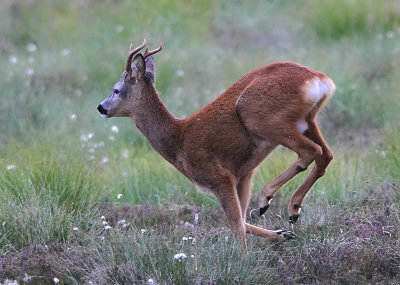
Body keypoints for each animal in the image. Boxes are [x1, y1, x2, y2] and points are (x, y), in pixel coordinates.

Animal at [97, 38, 334, 247]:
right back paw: (290, 210)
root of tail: (320, 80)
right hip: (307, 120)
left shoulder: (219, 177)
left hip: (260, 118)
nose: (100, 107)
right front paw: (281, 234)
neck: (178, 140)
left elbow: (237, 227)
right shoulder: (243, 175)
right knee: (326, 155)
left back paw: (267, 198)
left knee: (311, 151)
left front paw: (243, 262)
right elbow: (242, 222)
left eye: (116, 89)